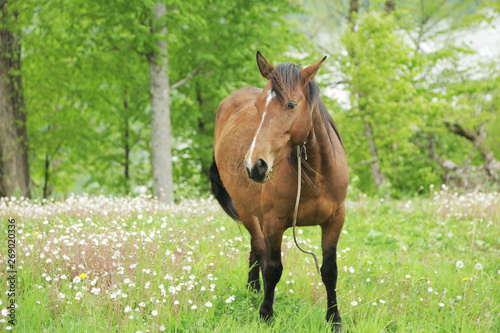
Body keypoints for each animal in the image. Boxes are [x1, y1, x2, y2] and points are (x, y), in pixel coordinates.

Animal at [208, 51, 348, 330]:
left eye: (291, 105)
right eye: (258, 107)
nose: (255, 165)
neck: (316, 175)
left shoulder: (335, 219)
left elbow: (330, 271)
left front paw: (334, 320)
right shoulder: (274, 221)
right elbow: (273, 268)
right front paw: (266, 315)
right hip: (249, 212)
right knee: (258, 248)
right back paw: (255, 291)